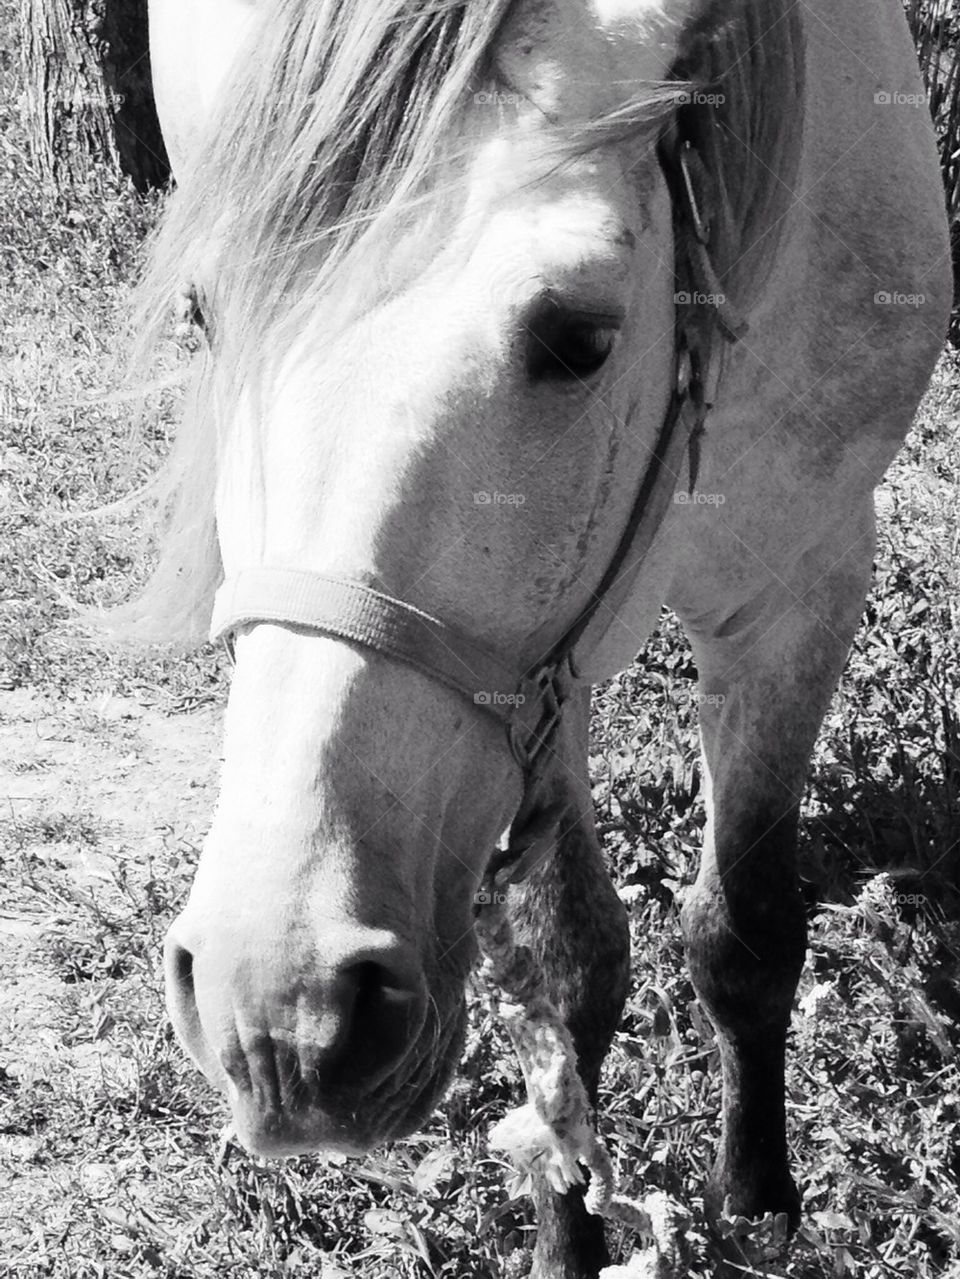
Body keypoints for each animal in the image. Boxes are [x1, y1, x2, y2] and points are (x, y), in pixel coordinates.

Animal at [133, 1, 951, 1275]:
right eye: (202, 316)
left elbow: (747, 928)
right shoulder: (540, 686)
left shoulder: (800, 585)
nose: (281, 1017)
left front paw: (757, 1203)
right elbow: (567, 975)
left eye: (577, 338)